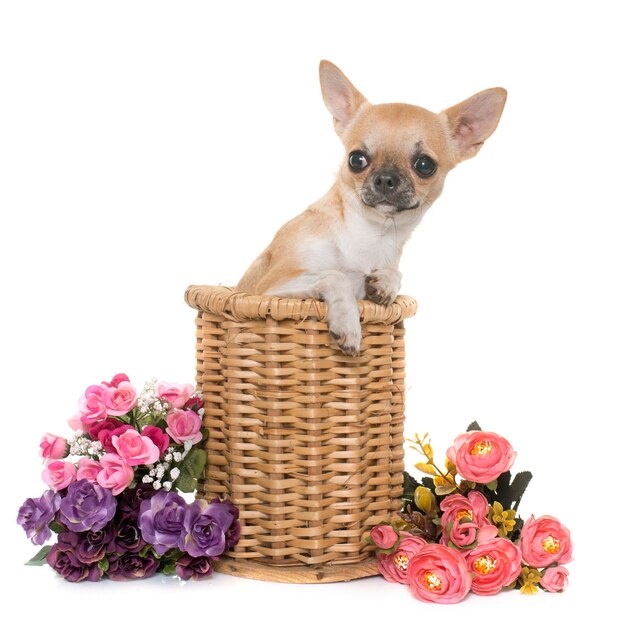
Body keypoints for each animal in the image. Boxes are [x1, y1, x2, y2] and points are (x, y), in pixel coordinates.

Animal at [236, 62, 504, 356]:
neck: (369, 233)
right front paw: (348, 324)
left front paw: (386, 282)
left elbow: (392, 274)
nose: (385, 178)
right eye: (356, 160)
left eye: (424, 165)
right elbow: (335, 276)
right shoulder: (268, 289)